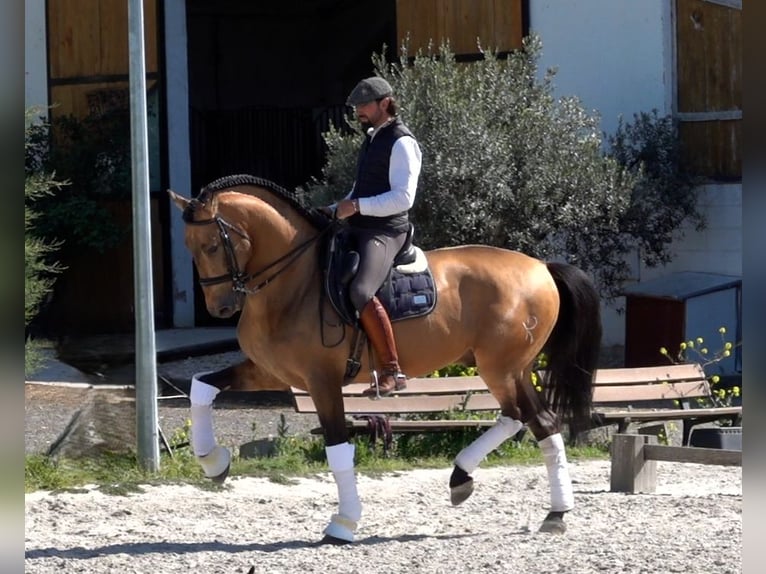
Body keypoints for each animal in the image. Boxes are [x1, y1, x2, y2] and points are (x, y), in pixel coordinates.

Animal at [168, 174, 602, 544]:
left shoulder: (322, 381)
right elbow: (201, 388)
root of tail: (541, 266)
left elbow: (338, 449)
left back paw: (525, 501)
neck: (293, 284)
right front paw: (213, 462)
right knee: (531, 419)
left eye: (211, 245)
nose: (221, 307)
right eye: (188, 247)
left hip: (500, 367)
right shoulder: (271, 374)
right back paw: (522, 501)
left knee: (529, 419)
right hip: (513, 368)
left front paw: (343, 524)